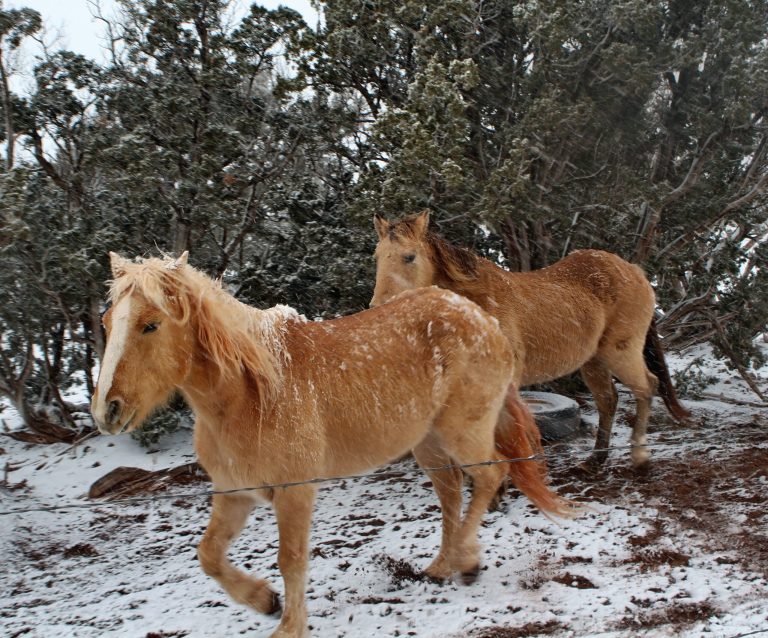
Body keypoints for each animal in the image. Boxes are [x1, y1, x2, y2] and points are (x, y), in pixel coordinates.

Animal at [91, 251, 571, 638]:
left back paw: (467, 563)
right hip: (430, 445)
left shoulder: (295, 493)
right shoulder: (235, 494)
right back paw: (441, 566)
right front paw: (264, 601)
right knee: (452, 494)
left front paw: (289, 625)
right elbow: (208, 555)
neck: (253, 395)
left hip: (463, 433)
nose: (106, 410)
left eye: (150, 325)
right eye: (107, 323)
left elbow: (291, 559)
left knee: (490, 476)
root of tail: (484, 320)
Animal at [370, 211, 690, 470]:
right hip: (593, 361)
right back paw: (596, 460)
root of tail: (634, 271)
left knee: (647, 387)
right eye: (377, 257)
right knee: (608, 400)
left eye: (409, 256)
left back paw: (639, 457)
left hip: (620, 352)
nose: (379, 308)